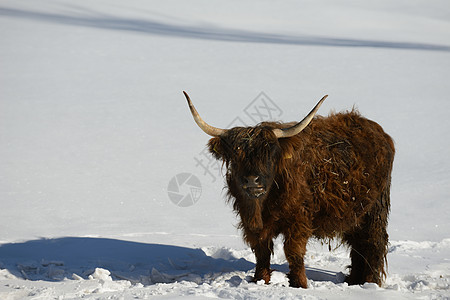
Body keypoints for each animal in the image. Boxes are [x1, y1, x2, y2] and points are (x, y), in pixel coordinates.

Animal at [183, 92, 394, 288]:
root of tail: (378, 131)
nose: (252, 181)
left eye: (270, 154)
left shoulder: (298, 220)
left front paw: (299, 284)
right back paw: (354, 280)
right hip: (355, 213)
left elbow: (293, 251)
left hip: (375, 210)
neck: (263, 204)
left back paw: (370, 282)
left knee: (374, 243)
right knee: (358, 245)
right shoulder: (251, 220)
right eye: (236, 156)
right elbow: (261, 250)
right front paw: (260, 280)